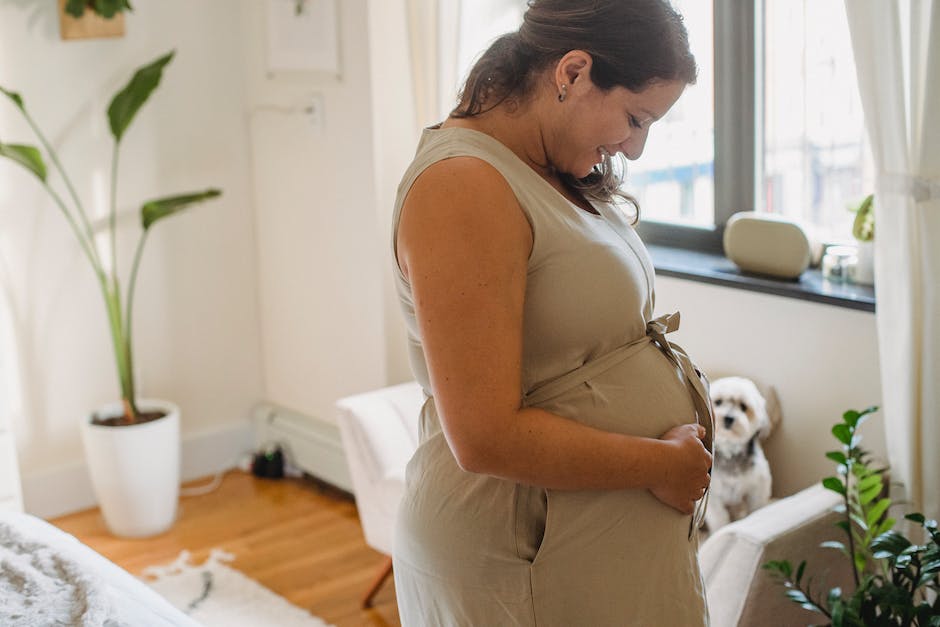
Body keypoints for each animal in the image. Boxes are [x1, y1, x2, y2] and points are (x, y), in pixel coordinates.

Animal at [700, 378, 776, 536]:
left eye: (743, 406)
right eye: (718, 402)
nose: (729, 418)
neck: (730, 453)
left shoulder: (758, 486)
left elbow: (756, 508)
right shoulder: (714, 497)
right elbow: (720, 519)